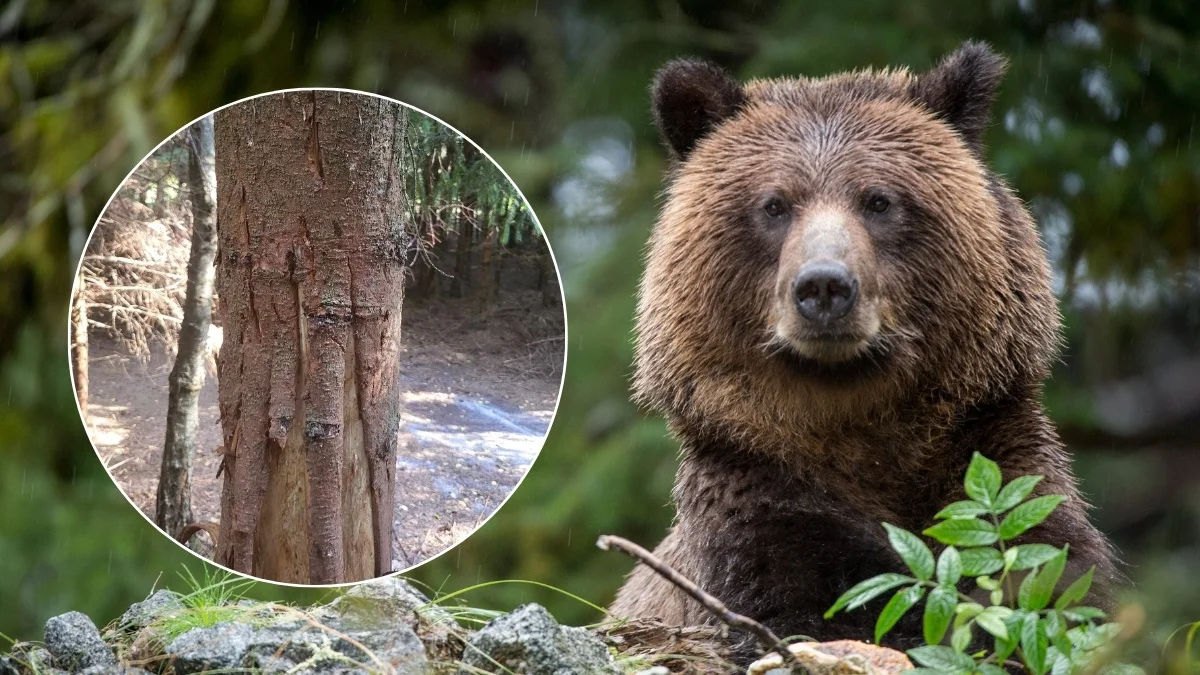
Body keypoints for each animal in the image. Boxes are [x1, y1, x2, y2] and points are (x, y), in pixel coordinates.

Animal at [614, 42, 1118, 653]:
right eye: (774, 205)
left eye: (878, 200)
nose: (824, 286)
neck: (857, 426)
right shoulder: (755, 490)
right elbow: (818, 597)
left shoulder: (997, 457)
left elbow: (1052, 575)